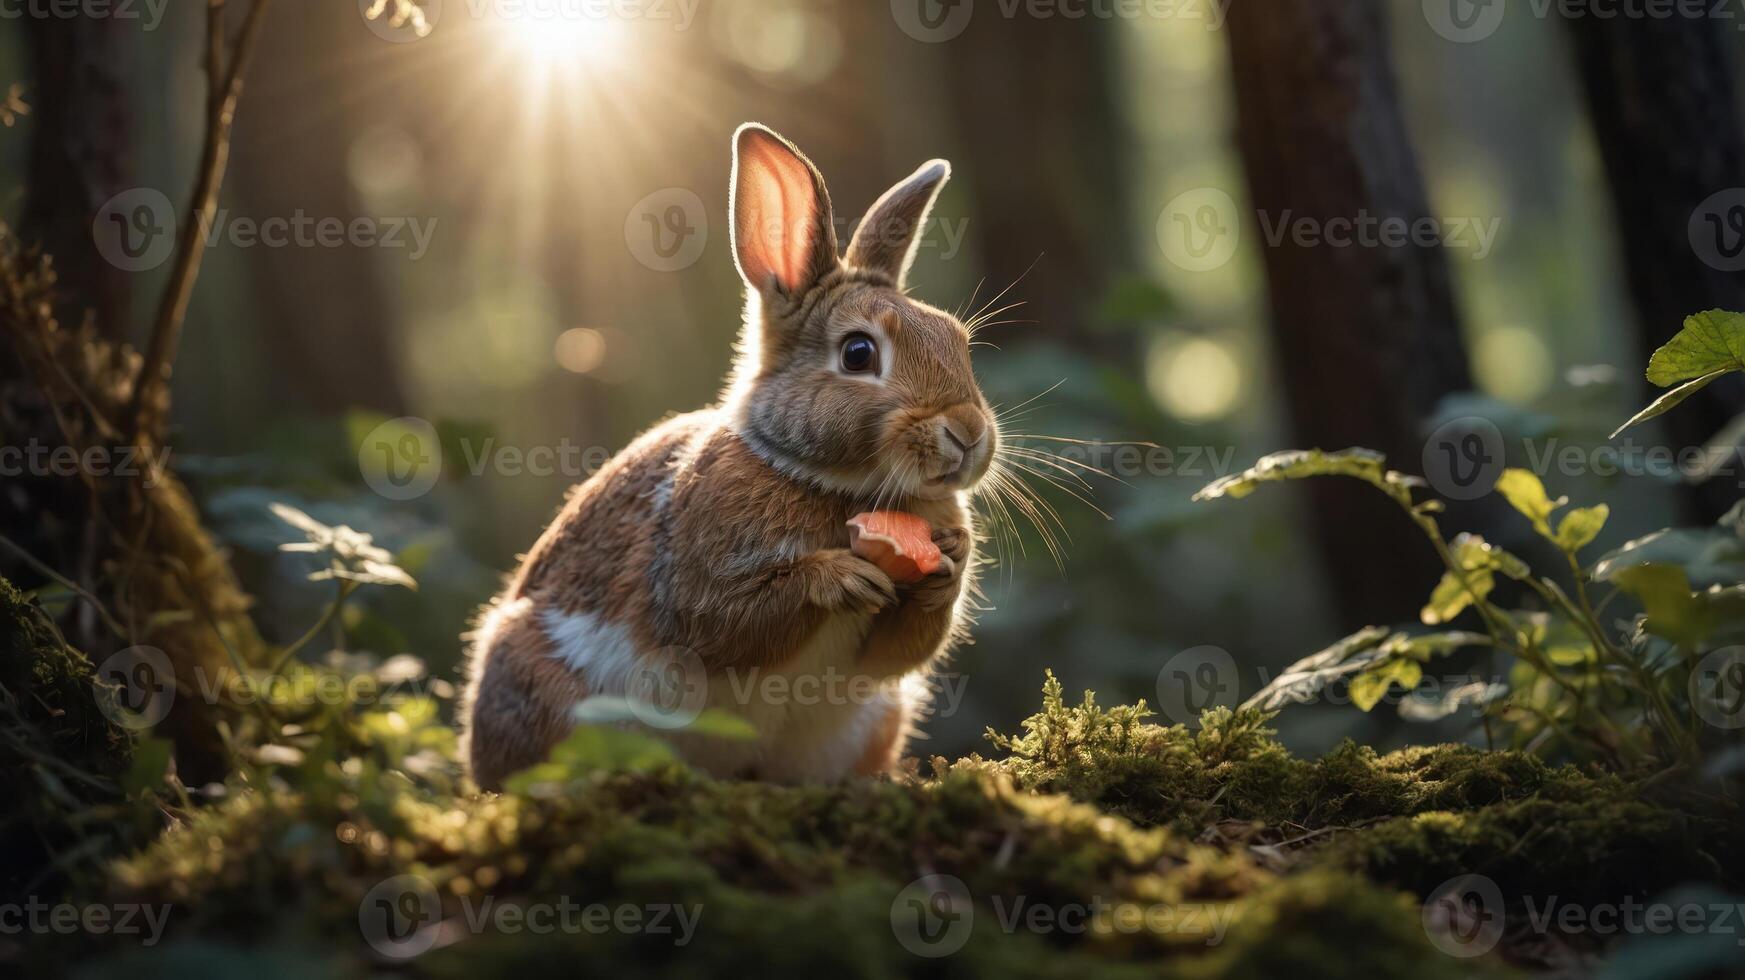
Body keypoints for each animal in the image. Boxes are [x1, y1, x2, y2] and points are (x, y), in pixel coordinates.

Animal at [464, 122, 998, 784]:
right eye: (857, 353)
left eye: (959, 341)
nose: (969, 434)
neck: (830, 482)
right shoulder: (693, 585)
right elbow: (726, 623)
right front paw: (838, 577)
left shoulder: (882, 663)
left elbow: (899, 650)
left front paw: (949, 564)